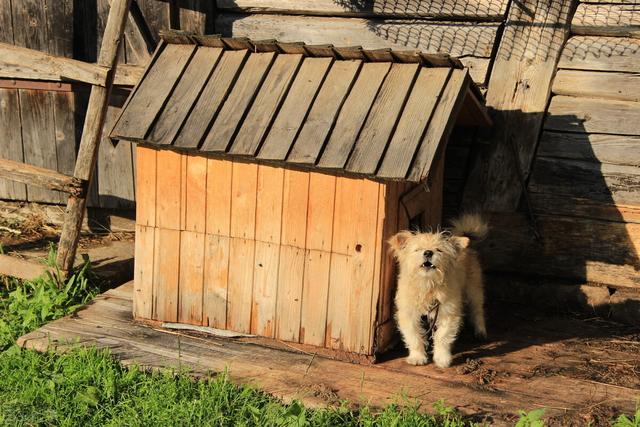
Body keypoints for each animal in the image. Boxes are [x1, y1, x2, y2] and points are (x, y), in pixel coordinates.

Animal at [388, 216, 488, 370]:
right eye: (418, 249)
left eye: (439, 250)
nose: (428, 252)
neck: (428, 285)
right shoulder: (408, 314)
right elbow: (414, 336)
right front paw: (417, 357)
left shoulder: (448, 313)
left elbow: (442, 337)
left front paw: (442, 358)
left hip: (473, 290)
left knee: (477, 311)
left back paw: (480, 331)